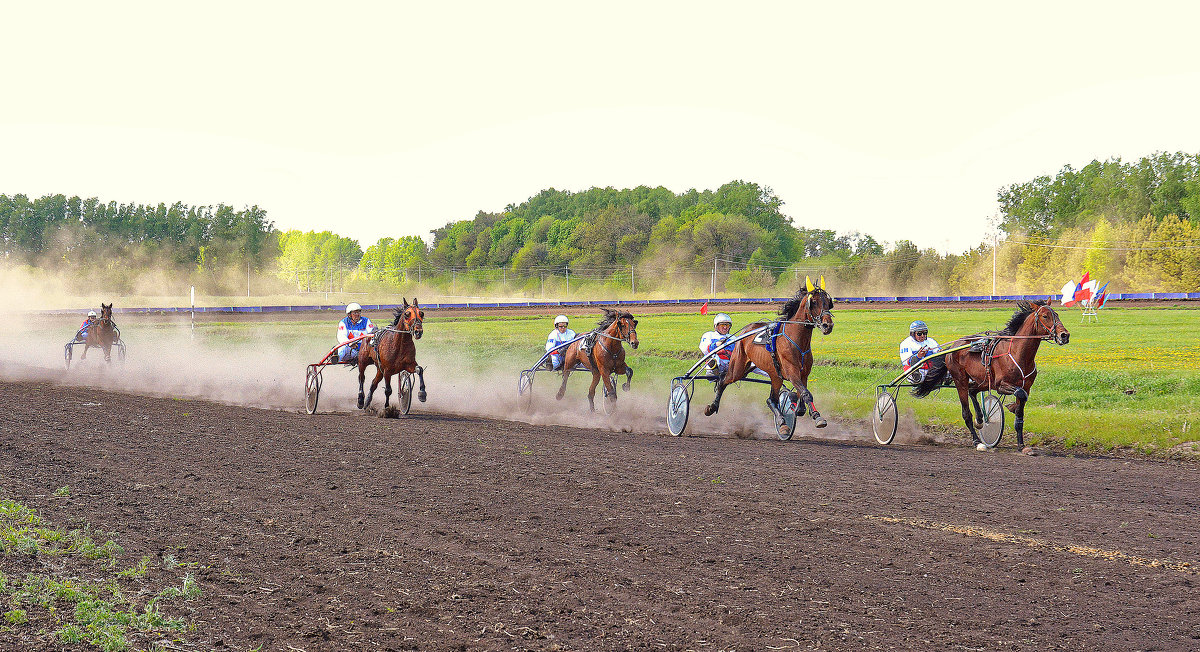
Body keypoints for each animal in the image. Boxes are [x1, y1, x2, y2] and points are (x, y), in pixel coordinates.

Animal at [700, 278, 835, 437]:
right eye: (813, 301)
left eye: (828, 302)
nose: (827, 325)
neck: (797, 341)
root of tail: (745, 331)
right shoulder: (792, 372)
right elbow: (806, 393)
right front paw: (817, 417)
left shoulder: (804, 374)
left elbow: (800, 395)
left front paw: (800, 408)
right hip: (737, 368)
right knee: (722, 382)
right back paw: (712, 407)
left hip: (772, 375)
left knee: (771, 399)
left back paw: (782, 422)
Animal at [912, 300, 1075, 449]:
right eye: (1045, 316)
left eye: (1057, 314)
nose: (1064, 335)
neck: (1019, 354)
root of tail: (953, 346)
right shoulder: (1001, 385)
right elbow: (1020, 394)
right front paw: (1011, 407)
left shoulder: (1026, 386)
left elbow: (1021, 410)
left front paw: (1021, 444)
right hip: (960, 380)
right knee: (966, 412)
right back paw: (976, 440)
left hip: (983, 380)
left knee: (973, 391)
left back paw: (980, 419)